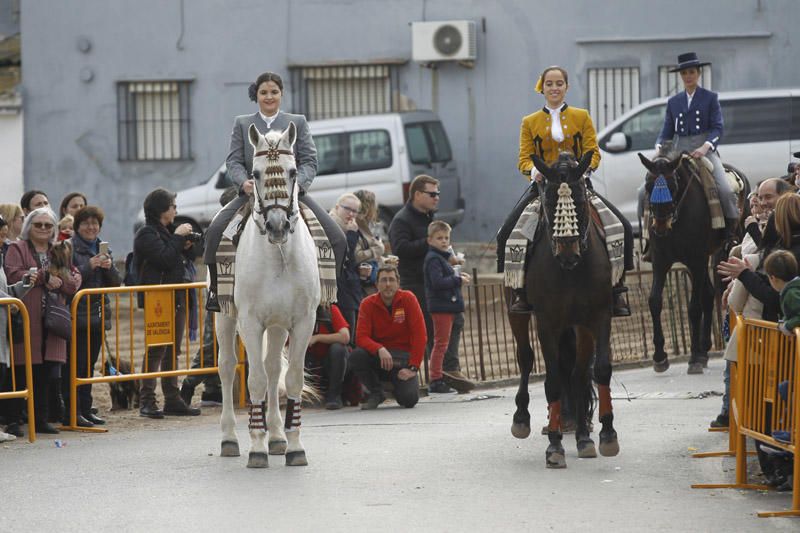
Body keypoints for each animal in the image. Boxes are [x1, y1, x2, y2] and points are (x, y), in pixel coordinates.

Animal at [219, 122, 322, 468]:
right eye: (256, 173)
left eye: (293, 172)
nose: (277, 225)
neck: (278, 256)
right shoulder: (250, 323)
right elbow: (256, 381)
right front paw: (256, 448)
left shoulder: (303, 322)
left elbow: (291, 379)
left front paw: (294, 446)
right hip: (224, 319)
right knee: (227, 367)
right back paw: (230, 438)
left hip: (277, 327)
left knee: (274, 366)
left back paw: (276, 436)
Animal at [506, 152, 620, 468]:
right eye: (547, 201)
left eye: (580, 198)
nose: (568, 252)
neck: (570, 271)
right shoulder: (548, 323)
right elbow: (553, 379)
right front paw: (554, 446)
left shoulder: (597, 317)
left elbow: (598, 370)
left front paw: (605, 435)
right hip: (516, 312)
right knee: (525, 357)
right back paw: (522, 419)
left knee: (578, 374)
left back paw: (582, 435)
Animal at [640, 150, 748, 374]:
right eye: (648, 185)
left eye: (672, 185)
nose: (660, 225)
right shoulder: (661, 261)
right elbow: (654, 301)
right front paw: (660, 357)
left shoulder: (696, 259)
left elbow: (694, 307)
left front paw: (694, 358)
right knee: (708, 294)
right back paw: (704, 349)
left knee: (706, 297)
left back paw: (701, 352)